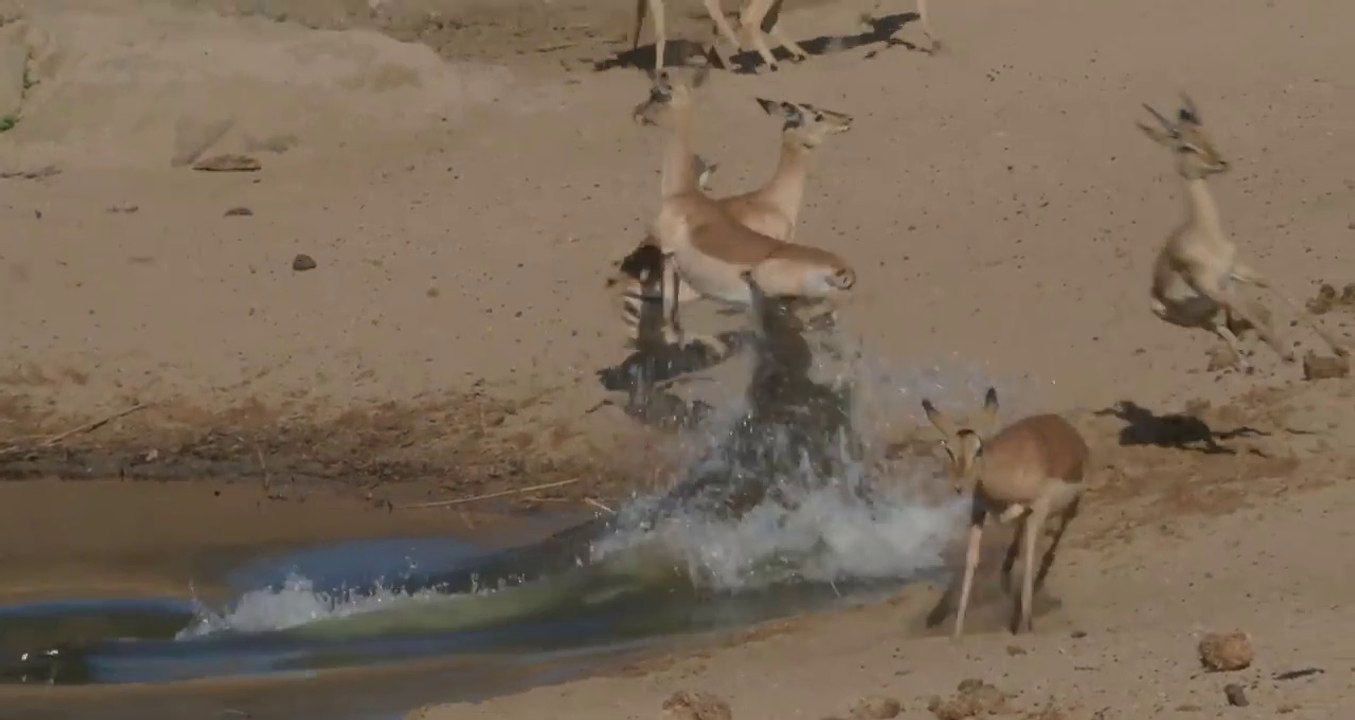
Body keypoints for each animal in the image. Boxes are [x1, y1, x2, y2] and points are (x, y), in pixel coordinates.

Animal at [920, 389, 1088, 639]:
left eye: (978, 449)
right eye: (949, 450)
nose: (960, 485)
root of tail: (1069, 430)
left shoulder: (1039, 509)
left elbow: (1030, 558)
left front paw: (1027, 624)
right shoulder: (978, 510)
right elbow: (971, 560)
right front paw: (957, 631)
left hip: (1069, 508)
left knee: (1049, 548)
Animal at [1137, 94, 1348, 370]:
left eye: (1206, 133)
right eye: (1185, 146)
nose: (1221, 162)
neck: (1207, 238)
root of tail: (1153, 293)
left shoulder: (1235, 272)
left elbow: (1270, 285)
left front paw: (1339, 346)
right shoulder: (1214, 288)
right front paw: (1286, 352)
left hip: (1222, 299)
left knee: (1241, 322)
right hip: (1205, 315)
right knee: (1227, 330)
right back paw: (1245, 363)